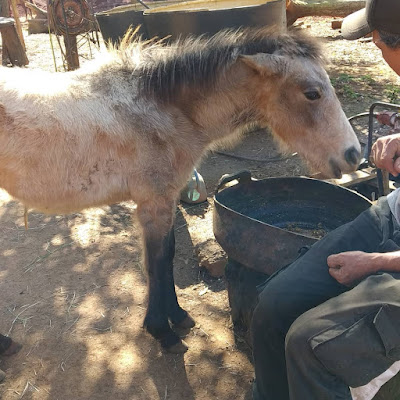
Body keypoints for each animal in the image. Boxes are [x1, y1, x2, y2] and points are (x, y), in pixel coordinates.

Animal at [0, 27, 360, 354]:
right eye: (311, 93)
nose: (353, 154)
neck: (164, 109)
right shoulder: (154, 203)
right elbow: (157, 263)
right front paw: (162, 331)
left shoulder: (166, 200)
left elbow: (167, 257)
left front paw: (177, 316)